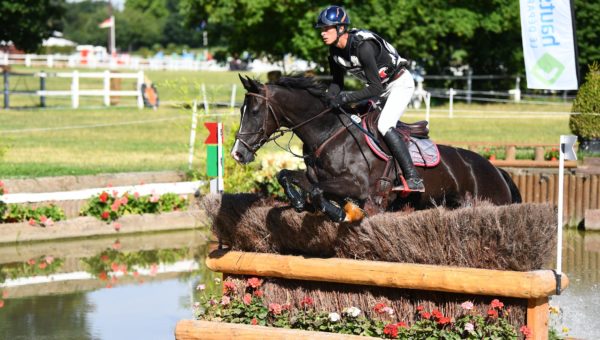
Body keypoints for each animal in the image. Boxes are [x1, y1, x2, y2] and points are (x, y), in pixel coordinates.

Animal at [232, 75, 524, 222]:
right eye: (241, 109)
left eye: (255, 111)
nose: (238, 152)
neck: (328, 134)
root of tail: (497, 170)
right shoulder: (317, 178)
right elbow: (287, 176)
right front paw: (298, 202)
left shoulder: (360, 188)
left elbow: (317, 192)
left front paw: (337, 212)